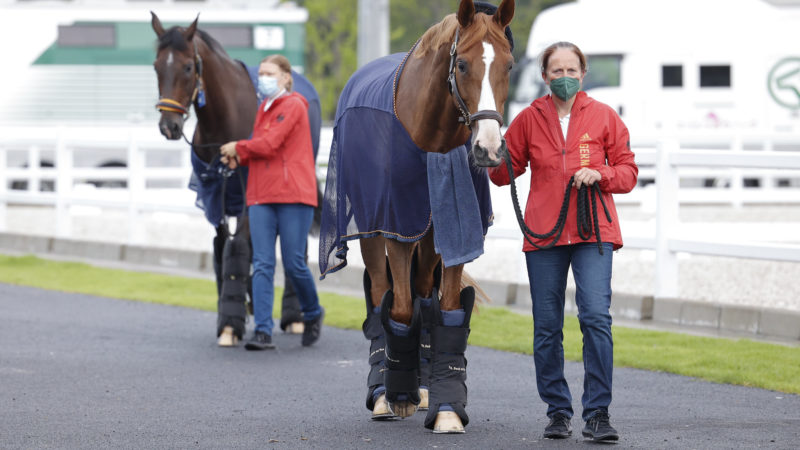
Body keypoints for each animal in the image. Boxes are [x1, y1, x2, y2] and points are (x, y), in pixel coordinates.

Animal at [318, 0, 512, 436]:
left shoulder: (453, 229)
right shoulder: (396, 227)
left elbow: (448, 305)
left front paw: (445, 406)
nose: (489, 148)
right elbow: (399, 307)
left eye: (509, 64)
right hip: (375, 232)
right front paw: (396, 394)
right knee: (380, 294)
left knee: (424, 292)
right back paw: (384, 390)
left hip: (429, 236)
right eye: (463, 65)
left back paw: (422, 385)